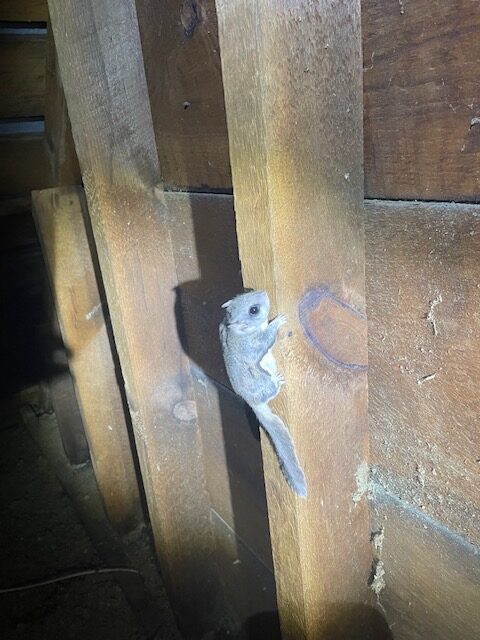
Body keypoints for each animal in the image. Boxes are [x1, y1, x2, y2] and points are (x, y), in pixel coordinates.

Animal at [219, 290, 307, 498]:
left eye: (245, 293)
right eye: (254, 310)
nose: (264, 293)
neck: (242, 332)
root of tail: (255, 405)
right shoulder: (253, 346)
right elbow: (266, 338)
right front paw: (278, 322)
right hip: (262, 381)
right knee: (270, 389)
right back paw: (276, 382)